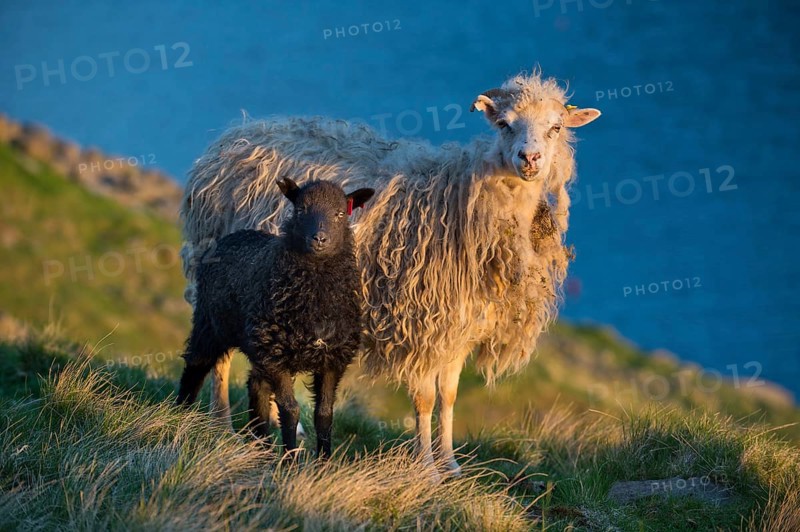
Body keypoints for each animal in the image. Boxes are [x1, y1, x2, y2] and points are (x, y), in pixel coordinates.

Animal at [176, 178, 375, 457]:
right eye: (301, 210)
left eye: (340, 214)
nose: (319, 239)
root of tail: (236, 235)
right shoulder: (277, 357)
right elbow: (290, 411)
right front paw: (290, 459)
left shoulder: (332, 358)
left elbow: (324, 414)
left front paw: (324, 461)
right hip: (211, 324)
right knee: (195, 365)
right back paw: (179, 415)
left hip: (258, 344)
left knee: (256, 386)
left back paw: (263, 446)